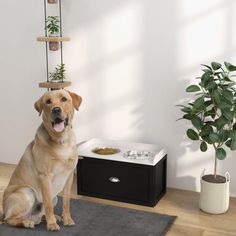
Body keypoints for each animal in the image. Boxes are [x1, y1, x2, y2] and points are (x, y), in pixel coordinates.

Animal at [0, 89, 82, 230]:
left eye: (64, 99)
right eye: (48, 102)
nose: (56, 110)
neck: (61, 141)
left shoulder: (69, 176)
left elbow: (66, 201)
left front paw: (67, 219)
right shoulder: (45, 176)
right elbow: (47, 203)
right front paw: (52, 224)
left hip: (55, 198)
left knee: (39, 214)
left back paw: (51, 217)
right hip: (27, 192)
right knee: (9, 220)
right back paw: (27, 222)